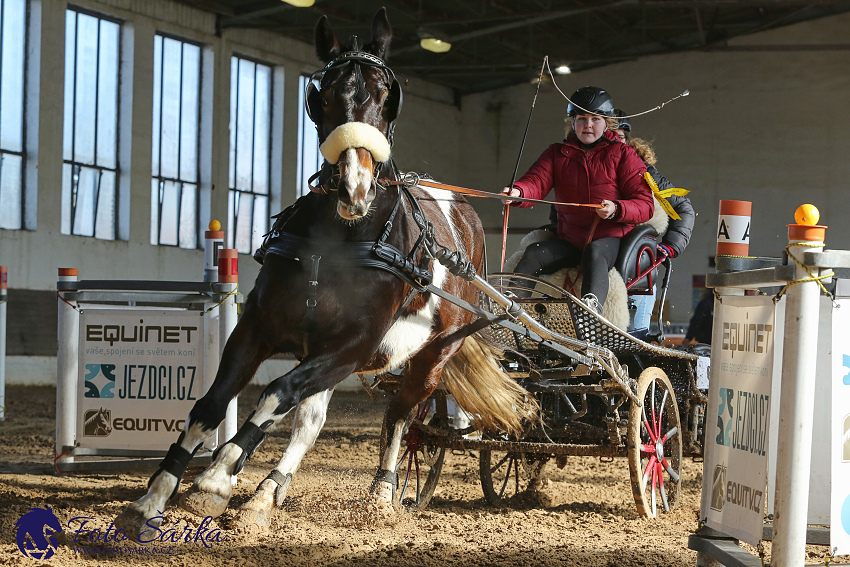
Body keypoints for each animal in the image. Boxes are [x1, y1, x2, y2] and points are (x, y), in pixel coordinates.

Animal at [117, 8, 532, 540]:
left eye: (386, 96)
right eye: (325, 95)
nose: (355, 187)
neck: (341, 240)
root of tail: (467, 223)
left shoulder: (352, 346)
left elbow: (276, 392)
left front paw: (214, 480)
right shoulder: (258, 330)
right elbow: (212, 405)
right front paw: (152, 498)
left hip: (433, 356)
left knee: (402, 418)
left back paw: (380, 497)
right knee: (312, 420)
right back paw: (267, 494)